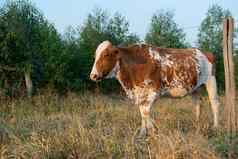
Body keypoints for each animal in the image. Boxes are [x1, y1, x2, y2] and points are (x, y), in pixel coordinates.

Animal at [89, 40, 219, 136]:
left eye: (106, 54)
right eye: (95, 56)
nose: (93, 75)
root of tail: (203, 52)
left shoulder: (154, 91)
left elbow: (146, 112)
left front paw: (154, 131)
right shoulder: (140, 93)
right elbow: (142, 112)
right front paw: (143, 133)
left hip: (211, 80)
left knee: (214, 104)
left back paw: (215, 127)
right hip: (195, 87)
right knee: (198, 104)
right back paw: (196, 125)